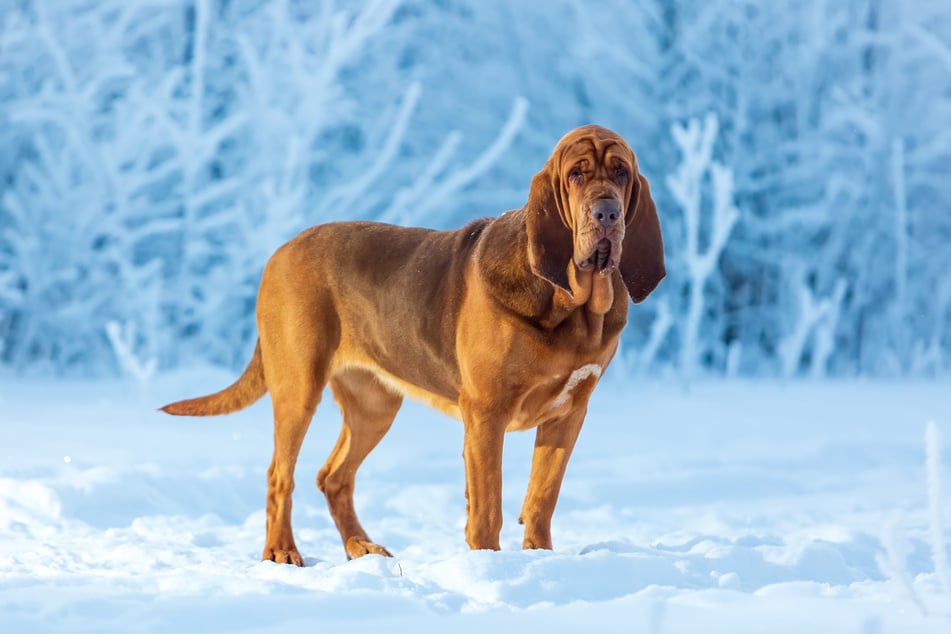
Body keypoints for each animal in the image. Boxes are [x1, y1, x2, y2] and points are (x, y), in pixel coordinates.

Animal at [164, 124, 664, 564]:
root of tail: (278, 253)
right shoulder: (486, 413)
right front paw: (488, 565)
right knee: (279, 475)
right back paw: (282, 551)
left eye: (621, 172)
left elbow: (542, 495)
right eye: (577, 173)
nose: (607, 213)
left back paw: (361, 548)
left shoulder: (569, 413)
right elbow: (488, 506)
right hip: (298, 389)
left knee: (333, 477)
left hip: (375, 407)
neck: (572, 306)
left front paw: (539, 559)